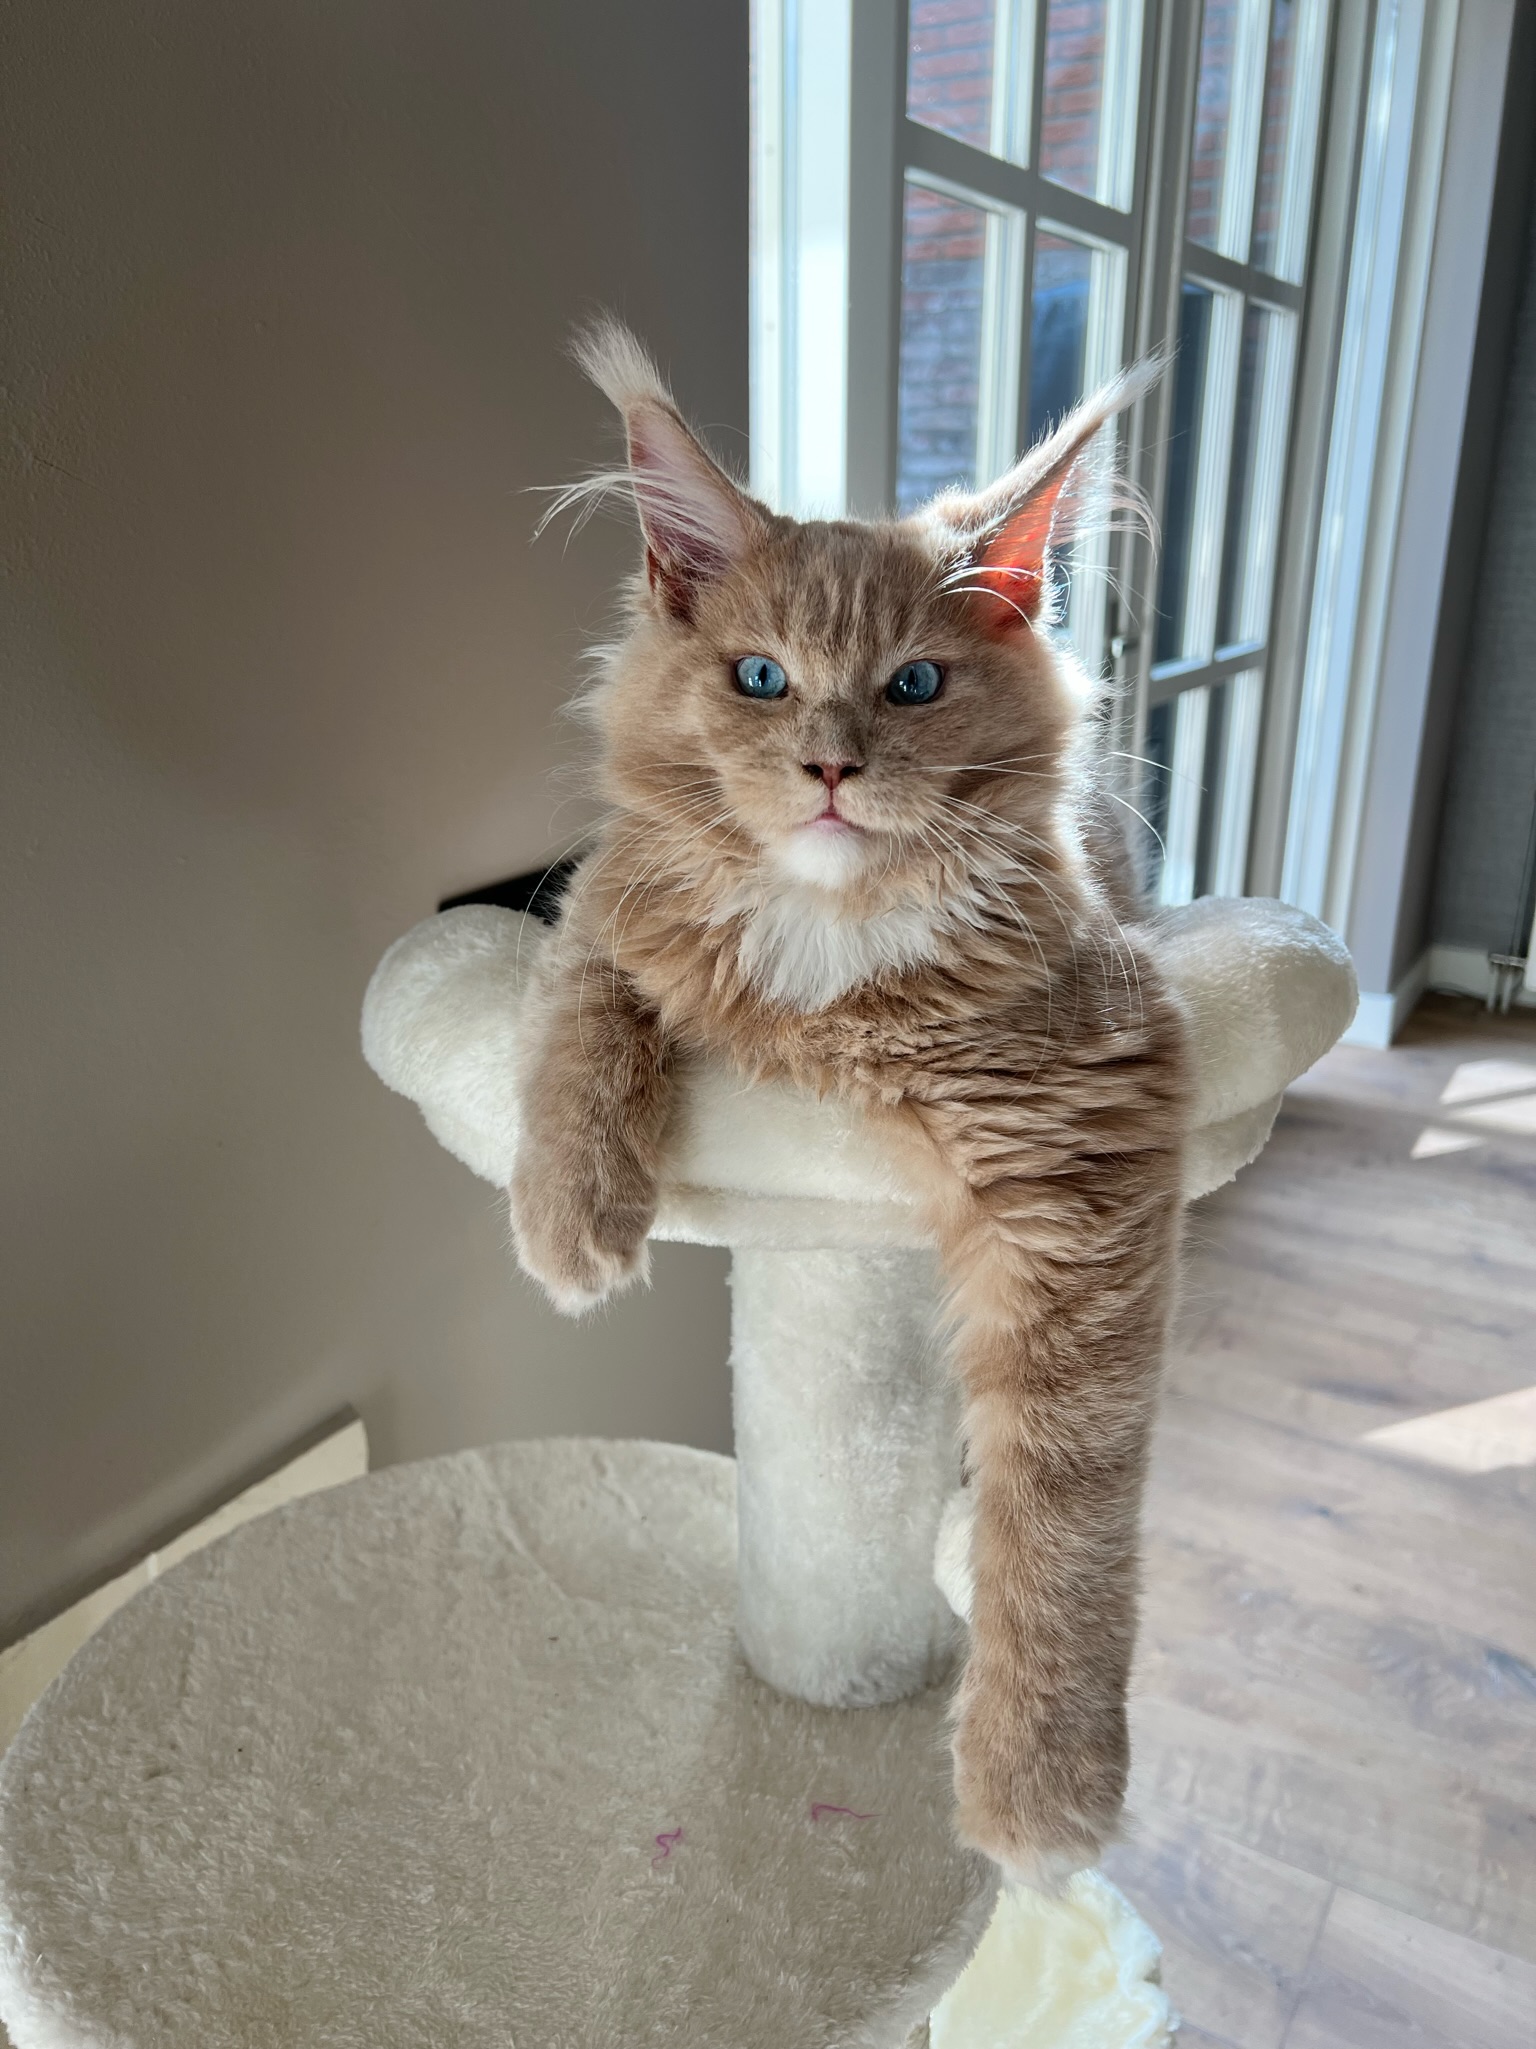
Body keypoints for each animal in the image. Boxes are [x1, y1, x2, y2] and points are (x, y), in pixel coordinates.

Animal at [509, 320, 1189, 1886]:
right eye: (763, 677)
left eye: (914, 688)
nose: (828, 767)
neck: (826, 958)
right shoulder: (610, 900)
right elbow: (583, 1011)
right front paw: (572, 1217)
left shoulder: (1078, 1164)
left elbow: (1056, 1524)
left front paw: (1038, 1793)